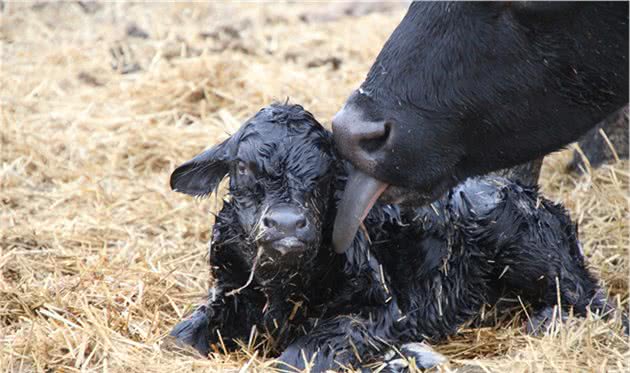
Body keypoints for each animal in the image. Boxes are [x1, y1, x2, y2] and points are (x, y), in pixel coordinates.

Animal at [168, 104, 624, 372]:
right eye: (242, 167)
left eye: (326, 171)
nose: (285, 224)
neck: (282, 288)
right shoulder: (226, 292)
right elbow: (179, 339)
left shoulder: (384, 308)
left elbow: (299, 355)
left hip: (535, 254)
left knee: (599, 305)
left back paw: (545, 321)